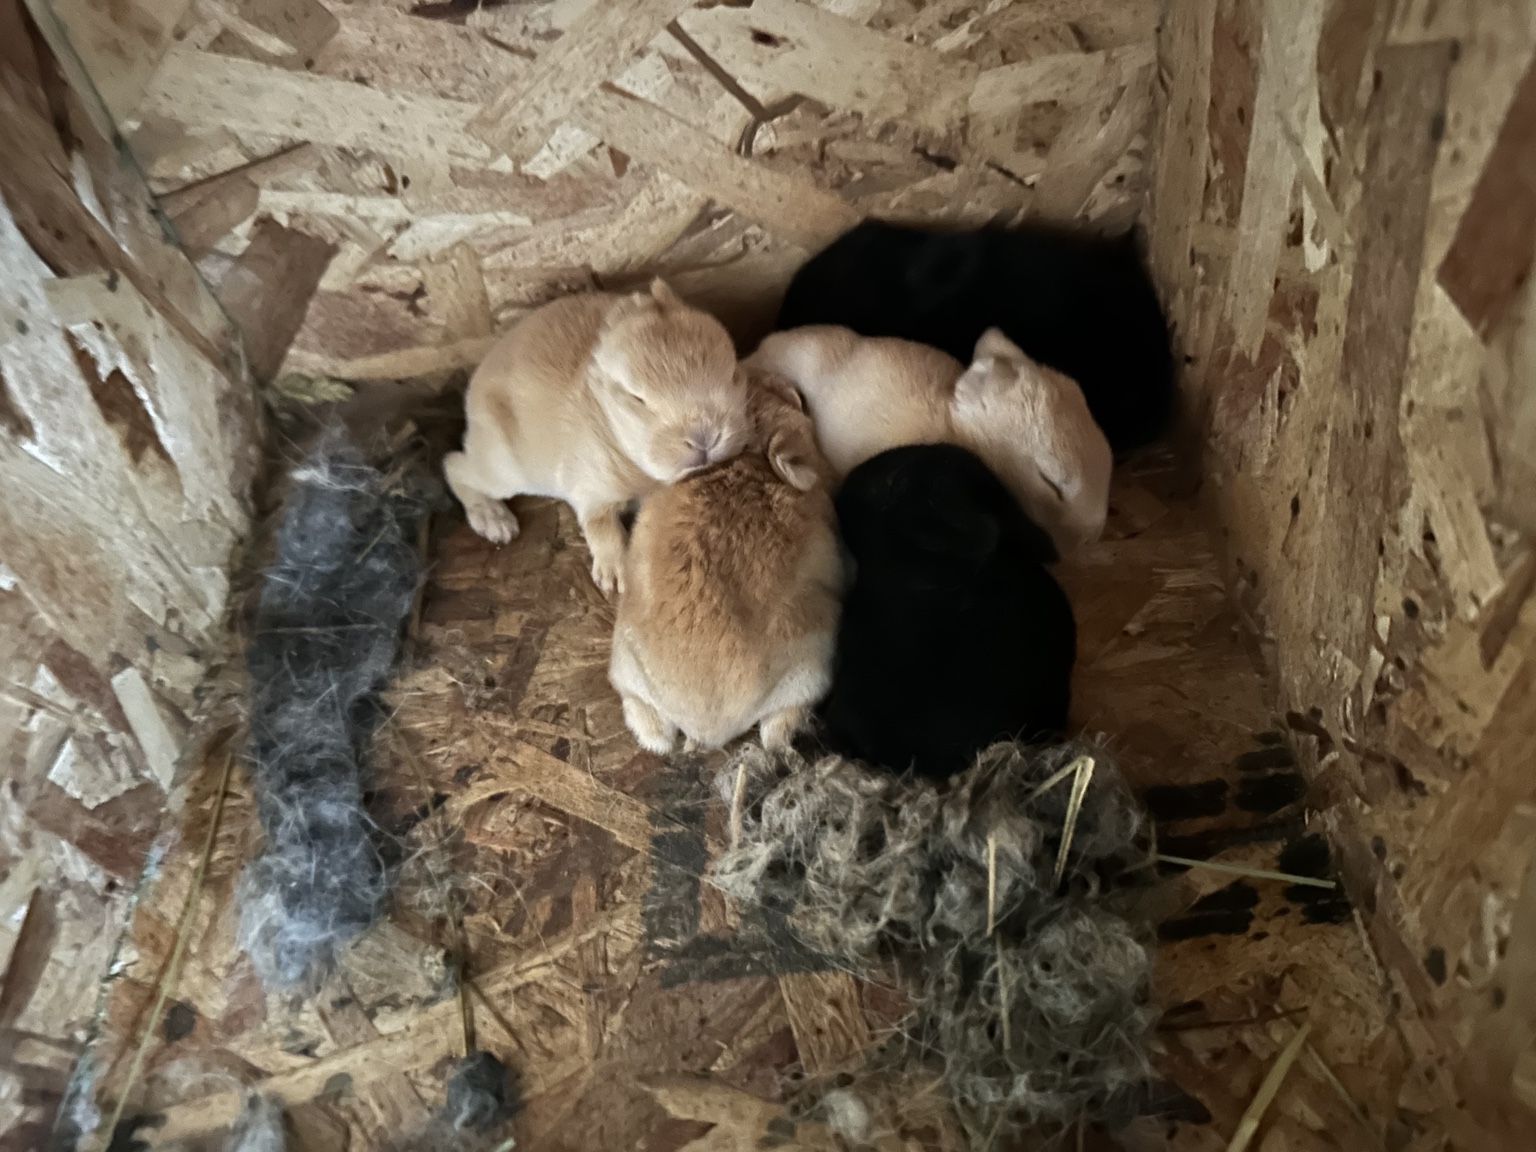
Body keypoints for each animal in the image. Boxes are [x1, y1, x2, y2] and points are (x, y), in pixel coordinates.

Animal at [443, 279, 750, 595]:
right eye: (637, 399)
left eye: (733, 374)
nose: (705, 437)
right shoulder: (591, 490)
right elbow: (601, 527)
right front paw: (616, 578)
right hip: (505, 470)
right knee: (454, 465)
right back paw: (496, 522)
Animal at [609, 370, 844, 754]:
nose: (793, 388)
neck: (748, 460)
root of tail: (706, 729)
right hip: (811, 673)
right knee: (776, 732)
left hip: (629, 674)